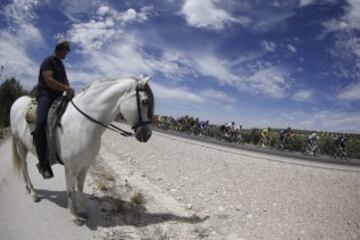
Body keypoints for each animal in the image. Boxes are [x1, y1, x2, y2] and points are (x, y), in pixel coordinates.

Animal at [10, 76, 154, 225]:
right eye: (145, 101)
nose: (147, 135)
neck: (83, 123)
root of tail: (17, 101)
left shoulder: (85, 166)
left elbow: (79, 188)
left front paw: (81, 210)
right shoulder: (71, 168)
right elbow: (70, 190)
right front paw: (74, 216)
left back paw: (28, 188)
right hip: (19, 143)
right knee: (25, 166)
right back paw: (33, 193)